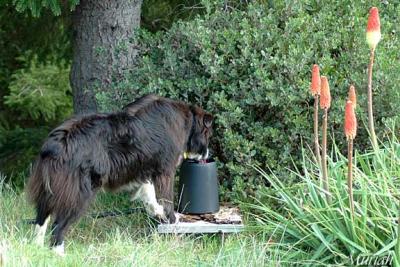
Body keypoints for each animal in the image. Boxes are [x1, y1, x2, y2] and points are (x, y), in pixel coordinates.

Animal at [26, 95, 212, 256]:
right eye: (208, 134)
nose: (207, 155)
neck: (186, 118)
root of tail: (56, 143)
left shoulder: (145, 168)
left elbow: (149, 193)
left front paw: (157, 212)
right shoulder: (165, 169)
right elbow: (166, 198)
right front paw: (173, 219)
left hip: (49, 190)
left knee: (41, 219)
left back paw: (38, 249)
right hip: (79, 192)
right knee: (58, 225)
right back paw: (59, 254)